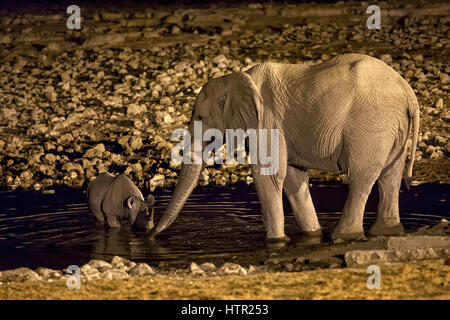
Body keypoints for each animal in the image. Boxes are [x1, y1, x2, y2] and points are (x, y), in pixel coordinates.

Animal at [148, 53, 418, 242]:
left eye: (200, 117)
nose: (149, 234)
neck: (237, 77)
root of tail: (408, 94)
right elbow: (293, 177)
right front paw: (312, 235)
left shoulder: (267, 120)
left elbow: (267, 175)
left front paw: (276, 242)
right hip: (392, 127)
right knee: (390, 176)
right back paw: (386, 231)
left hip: (371, 126)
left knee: (361, 177)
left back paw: (343, 237)